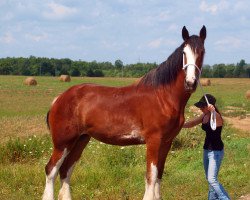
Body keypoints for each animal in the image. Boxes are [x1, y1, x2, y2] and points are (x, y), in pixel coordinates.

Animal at [43, 26, 207, 200]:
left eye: (202, 52)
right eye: (184, 52)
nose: (190, 83)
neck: (163, 96)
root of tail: (59, 98)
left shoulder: (166, 142)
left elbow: (159, 175)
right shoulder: (154, 141)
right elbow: (151, 176)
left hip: (80, 140)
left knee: (65, 171)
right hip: (63, 143)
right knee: (51, 170)